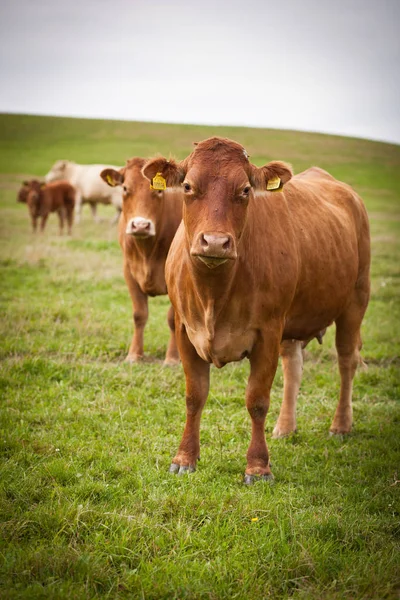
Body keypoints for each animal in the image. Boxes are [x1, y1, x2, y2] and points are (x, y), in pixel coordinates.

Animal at [142, 136, 370, 482]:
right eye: (188, 186)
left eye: (246, 189)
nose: (215, 242)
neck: (214, 294)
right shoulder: (185, 330)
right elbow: (194, 396)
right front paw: (184, 458)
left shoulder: (268, 333)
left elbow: (257, 400)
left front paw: (259, 466)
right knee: (294, 366)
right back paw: (285, 428)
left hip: (355, 300)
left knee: (346, 362)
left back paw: (340, 425)